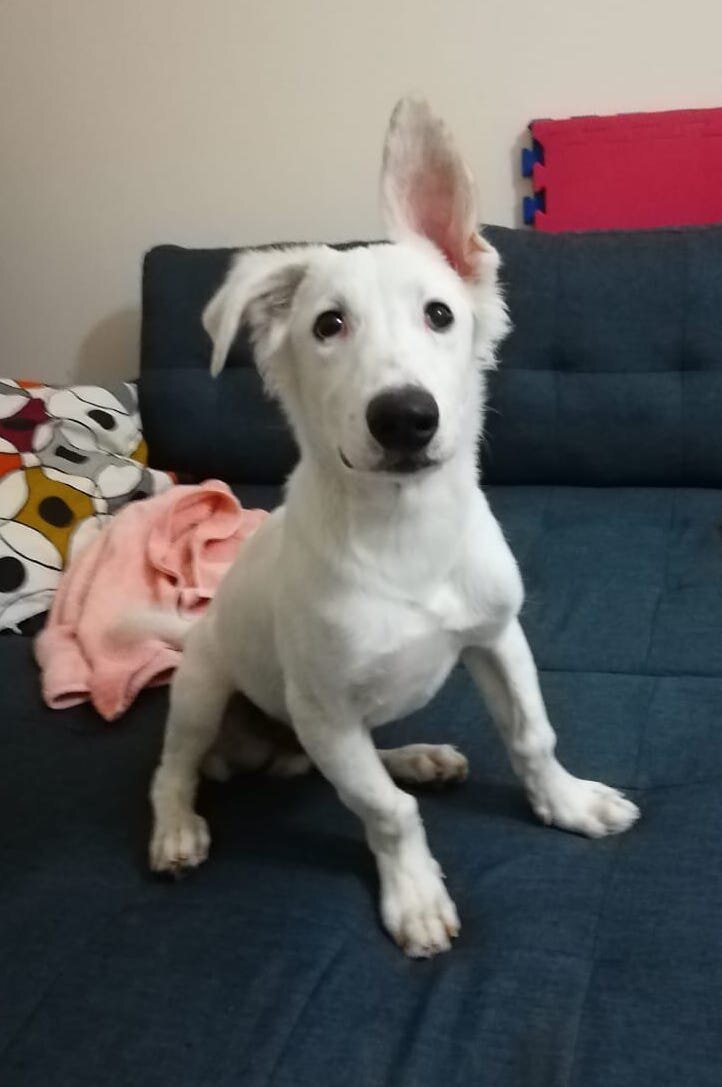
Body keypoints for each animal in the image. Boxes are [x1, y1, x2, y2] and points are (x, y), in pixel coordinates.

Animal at [148, 98, 639, 958]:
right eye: (327, 326)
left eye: (439, 314)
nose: (406, 417)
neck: (408, 537)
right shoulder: (324, 709)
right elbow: (386, 812)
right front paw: (414, 895)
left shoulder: (498, 637)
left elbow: (531, 736)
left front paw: (569, 803)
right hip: (206, 686)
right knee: (175, 766)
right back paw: (176, 828)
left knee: (339, 763)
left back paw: (416, 757)